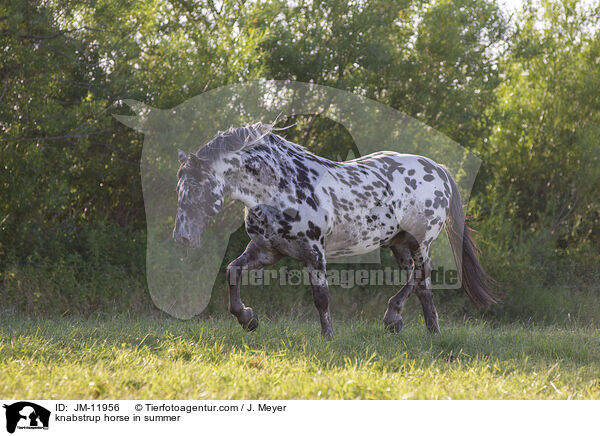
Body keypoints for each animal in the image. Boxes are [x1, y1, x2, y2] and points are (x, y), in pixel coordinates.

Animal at [172, 122, 496, 338]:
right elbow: (232, 271)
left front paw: (328, 336)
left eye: (199, 189)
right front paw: (248, 319)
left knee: (421, 276)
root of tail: (438, 169)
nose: (182, 238)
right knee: (419, 283)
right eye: (179, 188)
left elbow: (321, 296)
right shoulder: (266, 252)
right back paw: (423, 328)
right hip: (398, 243)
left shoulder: (314, 253)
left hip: (420, 241)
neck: (281, 186)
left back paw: (399, 320)